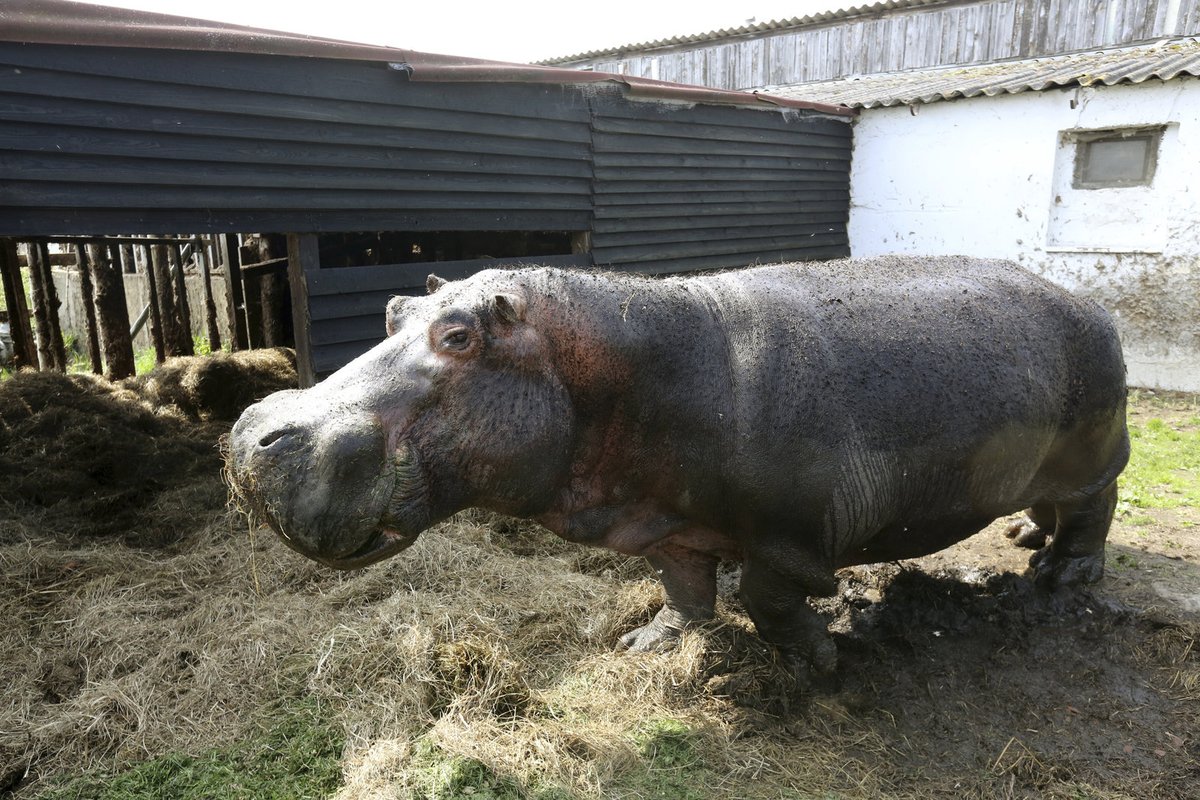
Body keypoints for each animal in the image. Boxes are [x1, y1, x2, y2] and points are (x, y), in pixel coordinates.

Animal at [223, 257, 1123, 681]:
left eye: (460, 336)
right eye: (392, 311)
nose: (252, 433)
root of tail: (1087, 299)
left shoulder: (790, 535)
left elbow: (766, 596)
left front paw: (818, 663)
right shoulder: (663, 519)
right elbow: (683, 588)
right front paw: (650, 644)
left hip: (1095, 452)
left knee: (1093, 512)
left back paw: (1059, 577)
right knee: (1049, 506)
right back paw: (1019, 534)